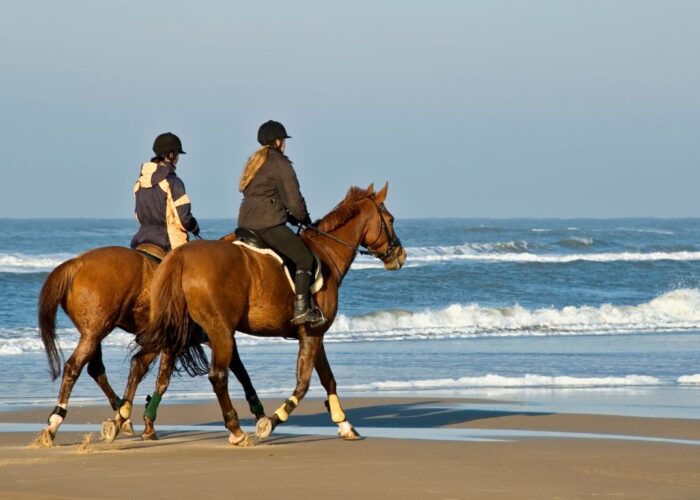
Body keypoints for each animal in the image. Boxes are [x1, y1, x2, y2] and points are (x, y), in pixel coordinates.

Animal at [37, 244, 266, 448]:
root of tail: (76, 264)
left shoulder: (180, 341)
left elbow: (151, 374)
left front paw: (142, 422)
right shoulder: (212, 336)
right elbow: (237, 370)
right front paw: (258, 412)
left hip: (93, 333)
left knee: (95, 369)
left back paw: (120, 413)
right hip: (95, 332)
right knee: (74, 367)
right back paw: (55, 423)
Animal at [111, 183, 408, 446]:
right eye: (390, 219)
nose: (401, 254)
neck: (326, 252)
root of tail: (181, 257)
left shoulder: (316, 334)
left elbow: (328, 379)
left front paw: (344, 424)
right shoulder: (312, 334)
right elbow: (303, 383)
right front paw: (271, 421)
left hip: (179, 329)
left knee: (143, 364)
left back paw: (121, 420)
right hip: (218, 331)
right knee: (216, 376)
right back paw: (235, 430)